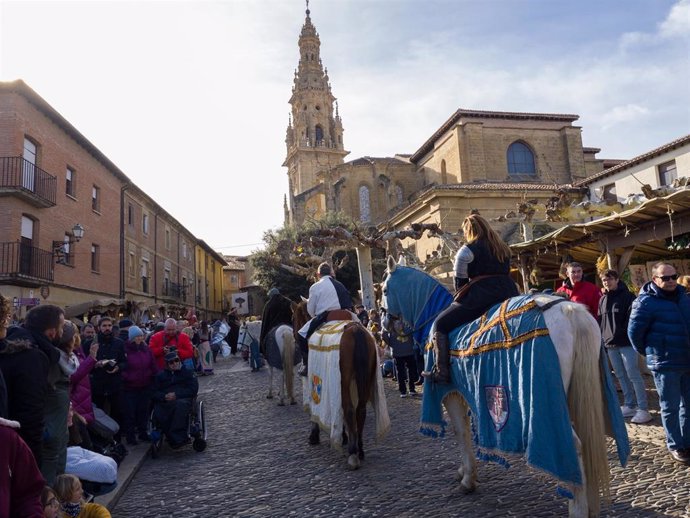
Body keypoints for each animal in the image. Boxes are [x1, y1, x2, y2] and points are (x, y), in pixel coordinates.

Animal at [290, 300, 384, 472]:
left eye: (294, 318)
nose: (294, 336)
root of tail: (355, 330)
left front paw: (314, 435)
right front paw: (344, 436)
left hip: (344, 380)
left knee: (349, 409)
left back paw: (353, 453)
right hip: (364, 380)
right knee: (360, 410)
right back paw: (359, 449)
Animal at [378, 258, 628, 516]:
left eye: (384, 290)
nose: (383, 328)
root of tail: (572, 313)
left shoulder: (450, 393)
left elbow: (460, 431)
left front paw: (467, 479)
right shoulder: (466, 392)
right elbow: (466, 429)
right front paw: (464, 471)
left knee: (575, 447)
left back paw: (577, 509)